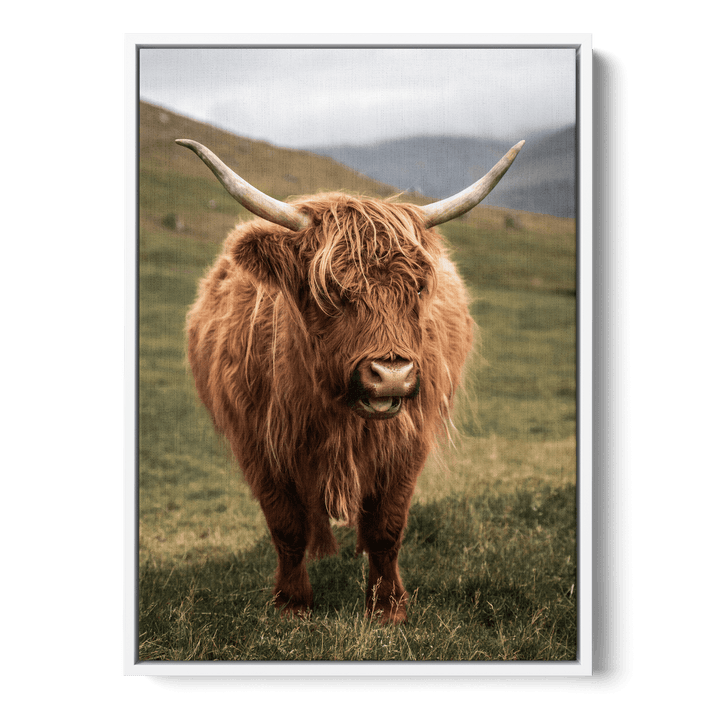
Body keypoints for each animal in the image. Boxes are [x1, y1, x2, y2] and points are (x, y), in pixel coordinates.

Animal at [178, 137, 524, 623]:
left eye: (418, 288)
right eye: (332, 291)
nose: (392, 375)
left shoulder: (407, 442)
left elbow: (386, 527)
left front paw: (388, 607)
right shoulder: (257, 444)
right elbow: (286, 526)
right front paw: (292, 603)